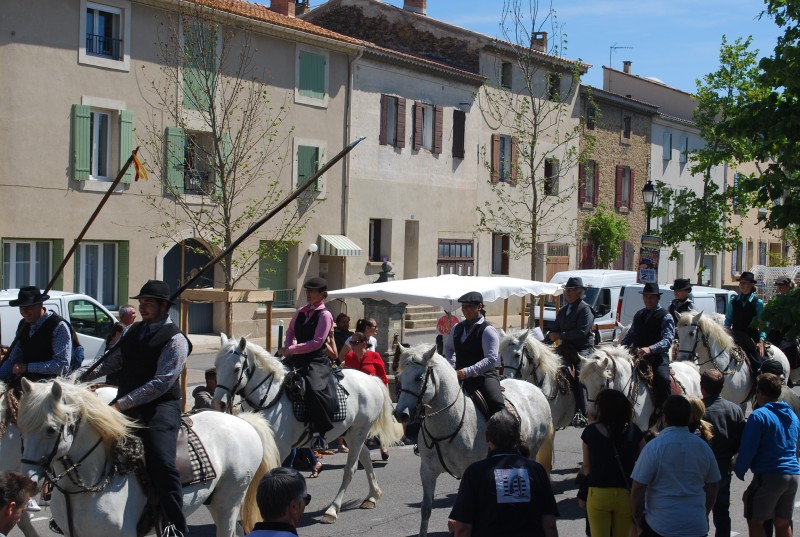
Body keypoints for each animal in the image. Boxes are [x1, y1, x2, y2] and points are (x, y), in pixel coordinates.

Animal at [211, 336, 400, 524]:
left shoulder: (280, 448)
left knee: (351, 469)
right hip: (350, 433)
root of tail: (371, 379)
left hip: (359, 432)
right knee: (366, 458)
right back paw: (372, 497)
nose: (218, 404)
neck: (269, 398)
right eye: (217, 366)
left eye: (236, 369)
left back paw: (333, 510)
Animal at [396, 344, 556, 536]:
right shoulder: (427, 471)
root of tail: (534, 389)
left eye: (419, 378)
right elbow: (426, 509)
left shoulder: (467, 471)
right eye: (400, 378)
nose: (400, 414)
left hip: (532, 451)